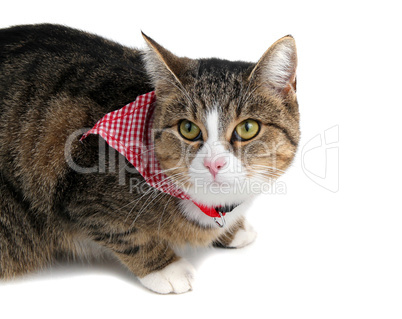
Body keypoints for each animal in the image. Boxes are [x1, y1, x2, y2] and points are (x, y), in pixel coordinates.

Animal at [0, 24, 298, 296]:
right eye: (187, 128)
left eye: (248, 128)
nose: (214, 163)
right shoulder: (83, 198)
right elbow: (126, 234)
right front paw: (166, 269)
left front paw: (233, 229)